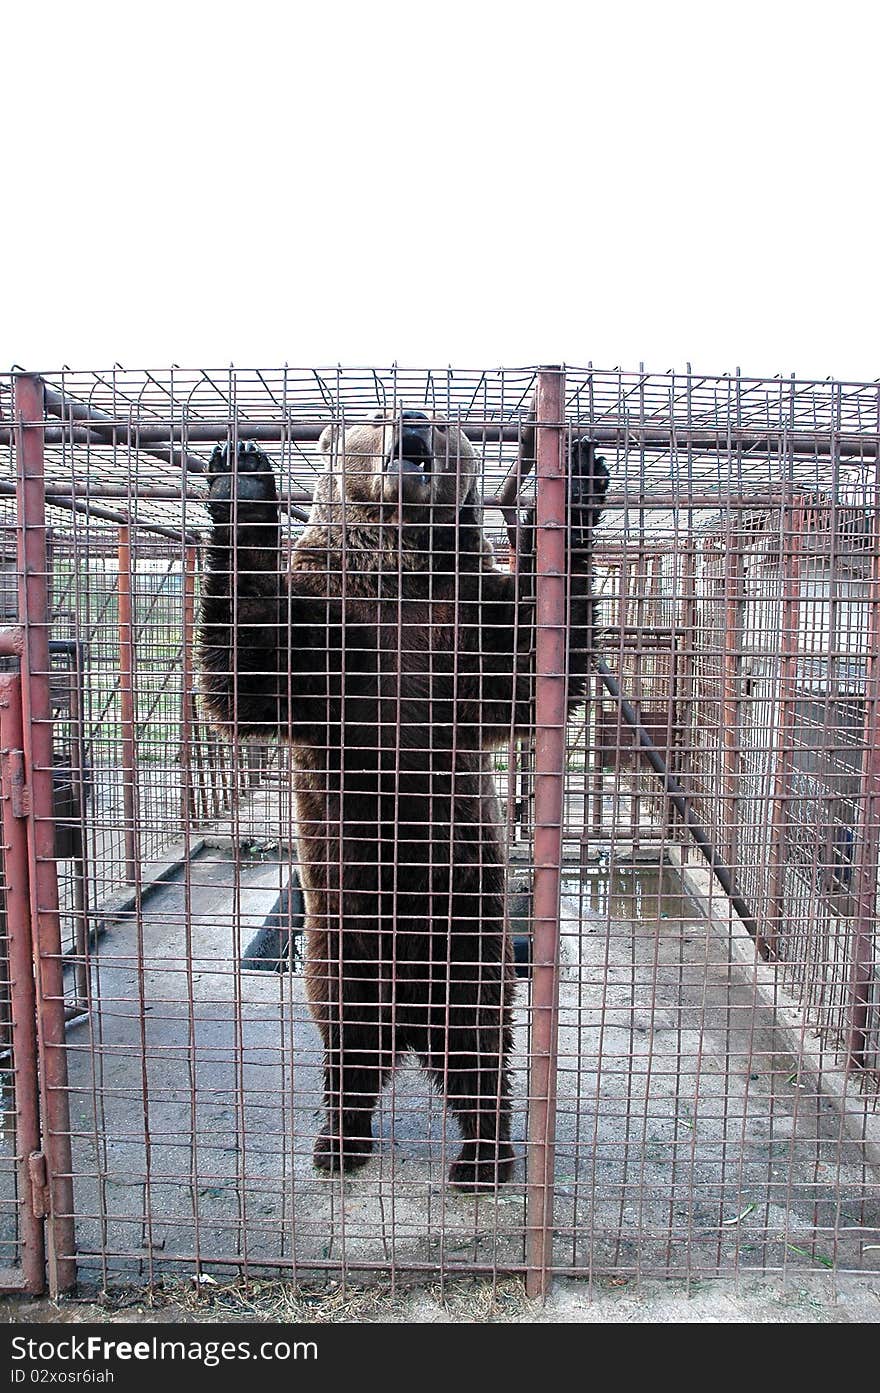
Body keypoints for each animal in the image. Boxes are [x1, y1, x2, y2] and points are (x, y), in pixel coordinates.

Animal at [199, 406, 604, 1192]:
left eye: (446, 425)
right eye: (376, 416)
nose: (414, 420)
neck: (398, 573)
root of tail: (409, 1019)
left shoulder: (462, 629)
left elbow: (534, 657)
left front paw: (564, 485)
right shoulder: (329, 634)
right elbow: (249, 659)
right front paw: (242, 479)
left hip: (468, 937)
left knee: (478, 1049)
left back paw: (483, 1157)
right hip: (344, 940)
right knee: (347, 1042)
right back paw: (339, 1139)